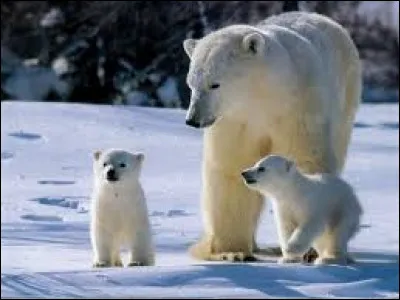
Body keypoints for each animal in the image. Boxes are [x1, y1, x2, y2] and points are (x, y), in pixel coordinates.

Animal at [183, 11, 360, 262]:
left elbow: (305, 159)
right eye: (191, 84)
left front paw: (308, 250)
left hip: (345, 99)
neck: (265, 97)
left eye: (214, 84)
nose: (193, 119)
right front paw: (232, 251)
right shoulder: (235, 120)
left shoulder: (298, 109)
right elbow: (231, 167)